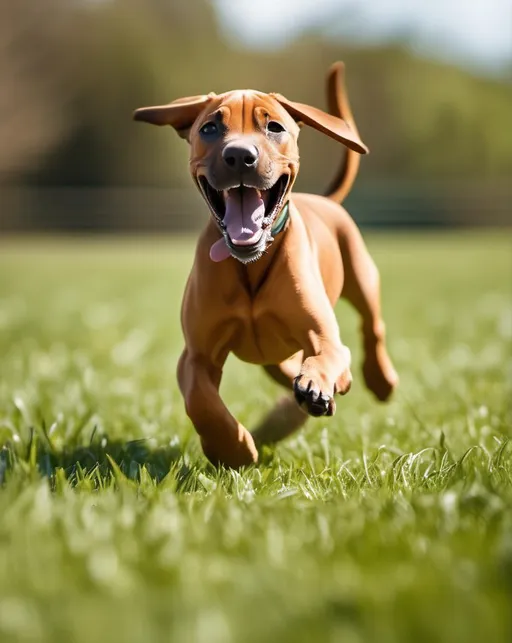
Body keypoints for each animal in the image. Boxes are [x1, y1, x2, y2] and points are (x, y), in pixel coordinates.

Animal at [134, 61, 398, 468]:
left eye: (274, 126)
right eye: (209, 128)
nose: (240, 156)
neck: (249, 264)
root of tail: (324, 199)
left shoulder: (323, 334)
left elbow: (328, 352)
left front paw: (320, 383)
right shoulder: (196, 355)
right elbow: (199, 400)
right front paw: (233, 448)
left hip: (361, 273)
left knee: (371, 327)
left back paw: (373, 379)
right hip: (275, 355)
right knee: (287, 369)